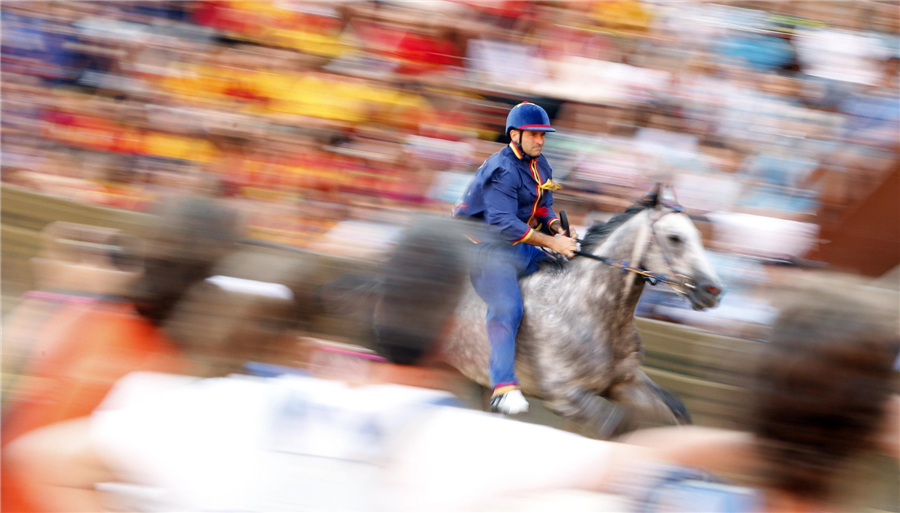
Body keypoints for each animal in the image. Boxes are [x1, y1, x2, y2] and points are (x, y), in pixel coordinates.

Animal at [368, 186, 724, 438]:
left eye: (698, 235)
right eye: (675, 238)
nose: (713, 290)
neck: (593, 311)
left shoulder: (625, 383)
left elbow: (675, 412)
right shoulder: (565, 397)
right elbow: (616, 424)